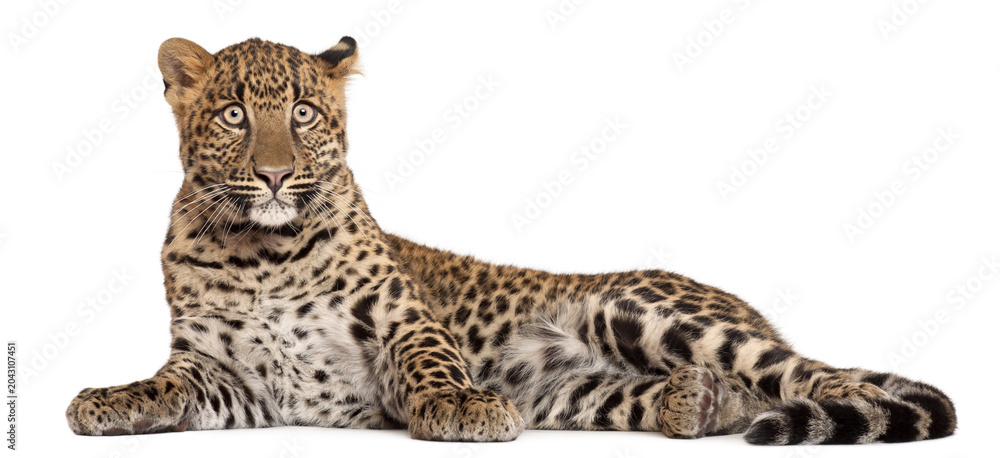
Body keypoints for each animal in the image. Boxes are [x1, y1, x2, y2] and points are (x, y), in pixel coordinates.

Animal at [66, 36, 957, 445]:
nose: (278, 175)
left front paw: (461, 405)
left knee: (822, 374)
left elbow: (430, 366)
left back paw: (831, 406)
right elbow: (167, 386)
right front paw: (106, 399)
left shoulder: (405, 324)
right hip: (574, 391)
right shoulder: (225, 375)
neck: (263, 254)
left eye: (305, 114)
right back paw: (698, 402)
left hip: (635, 308)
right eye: (233, 116)